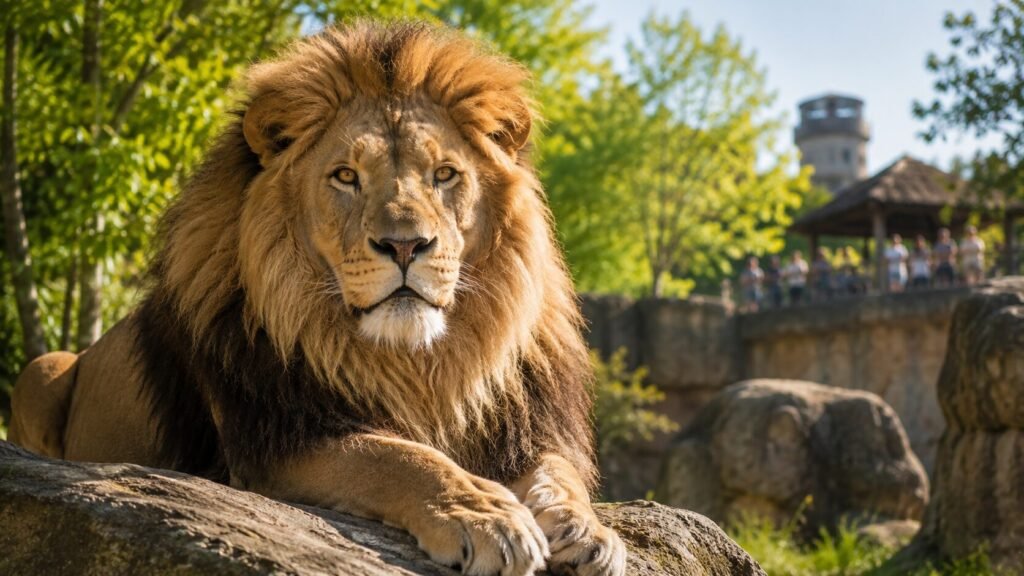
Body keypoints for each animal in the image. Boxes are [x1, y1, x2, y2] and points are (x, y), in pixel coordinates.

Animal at [8, 21, 626, 576]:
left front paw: (586, 531)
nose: (406, 245)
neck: (419, 363)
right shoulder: (272, 443)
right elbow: (394, 456)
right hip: (41, 369)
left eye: (445, 175)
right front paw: (485, 515)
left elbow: (557, 473)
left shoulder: (528, 425)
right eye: (346, 176)